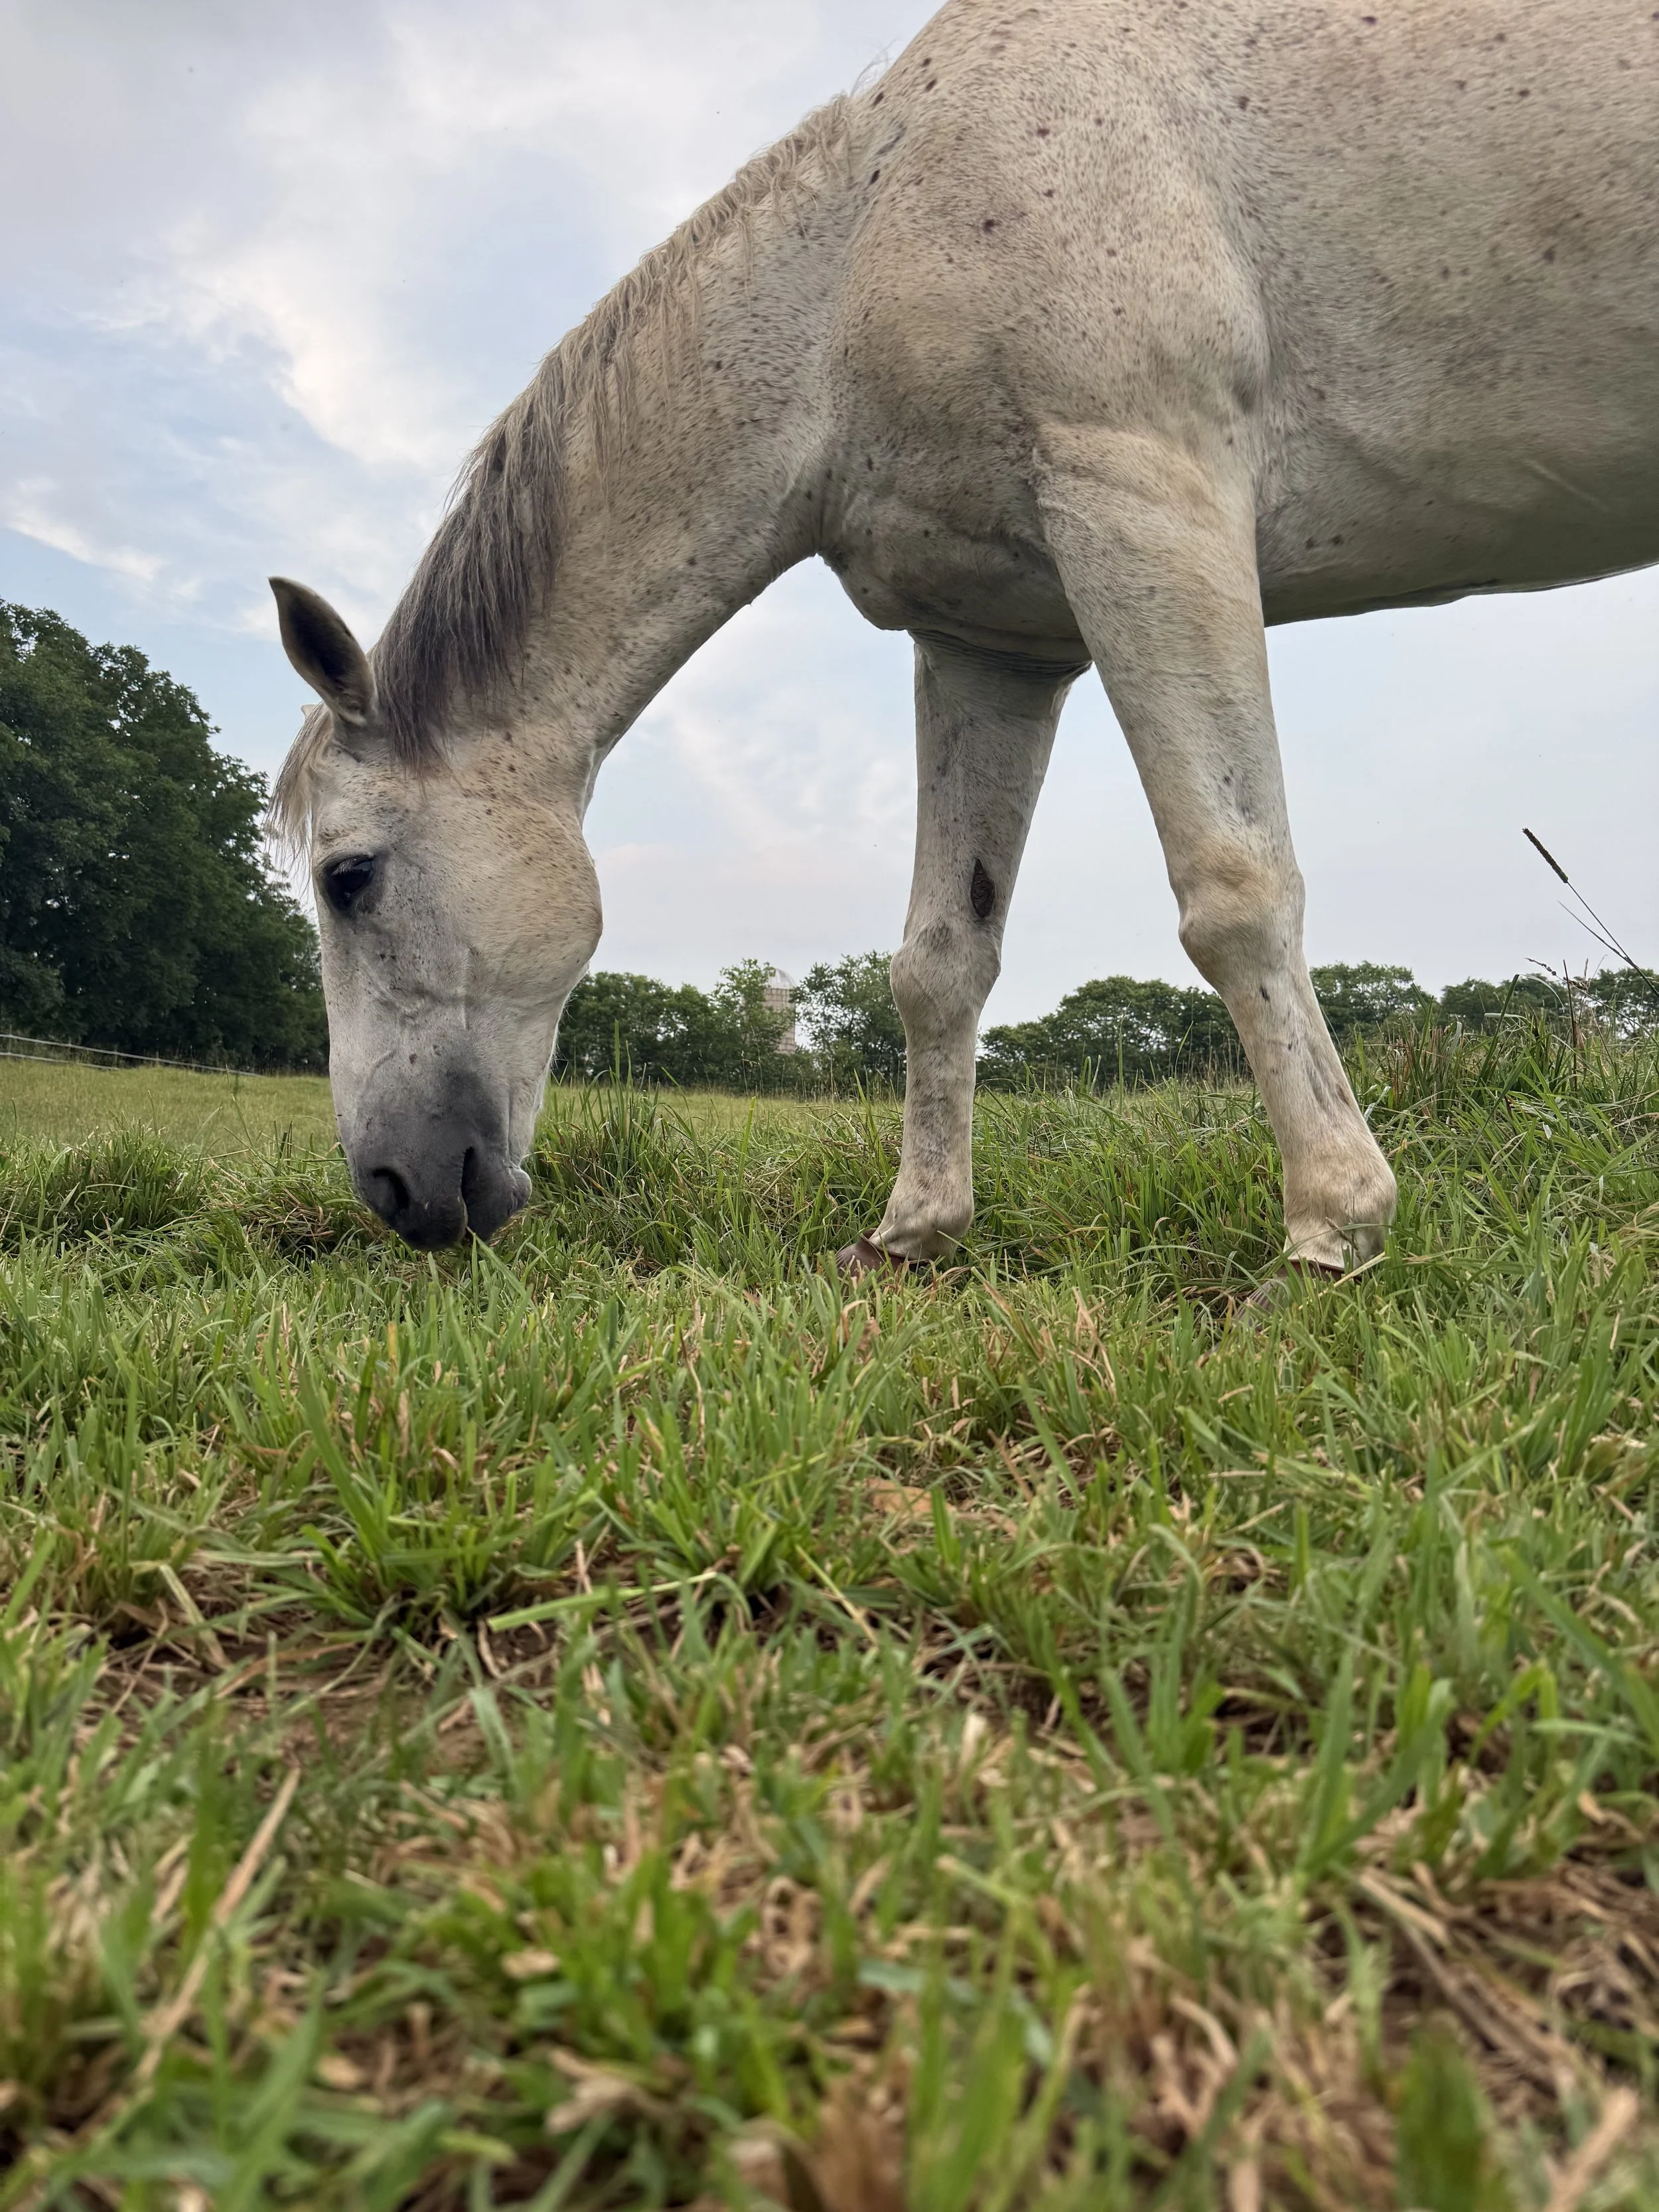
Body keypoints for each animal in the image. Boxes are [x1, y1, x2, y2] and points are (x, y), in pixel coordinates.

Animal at [272, 0, 1659, 1267]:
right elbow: (942, 955)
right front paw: (915, 1231)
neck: (864, 249)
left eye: (350, 878)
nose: (397, 1189)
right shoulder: (993, 644)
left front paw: (1333, 1229)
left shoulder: (1147, 509)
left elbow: (1236, 889)